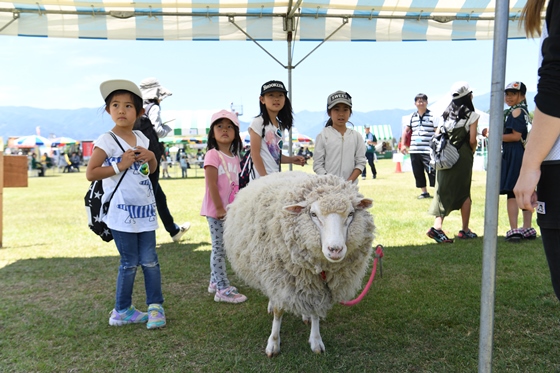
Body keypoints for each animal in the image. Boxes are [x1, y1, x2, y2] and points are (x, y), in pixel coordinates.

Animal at [224, 170, 376, 356]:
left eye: (351, 214)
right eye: (313, 214)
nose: (335, 249)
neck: (320, 269)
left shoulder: (317, 287)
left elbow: (316, 312)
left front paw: (316, 340)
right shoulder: (278, 278)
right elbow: (278, 311)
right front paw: (273, 343)